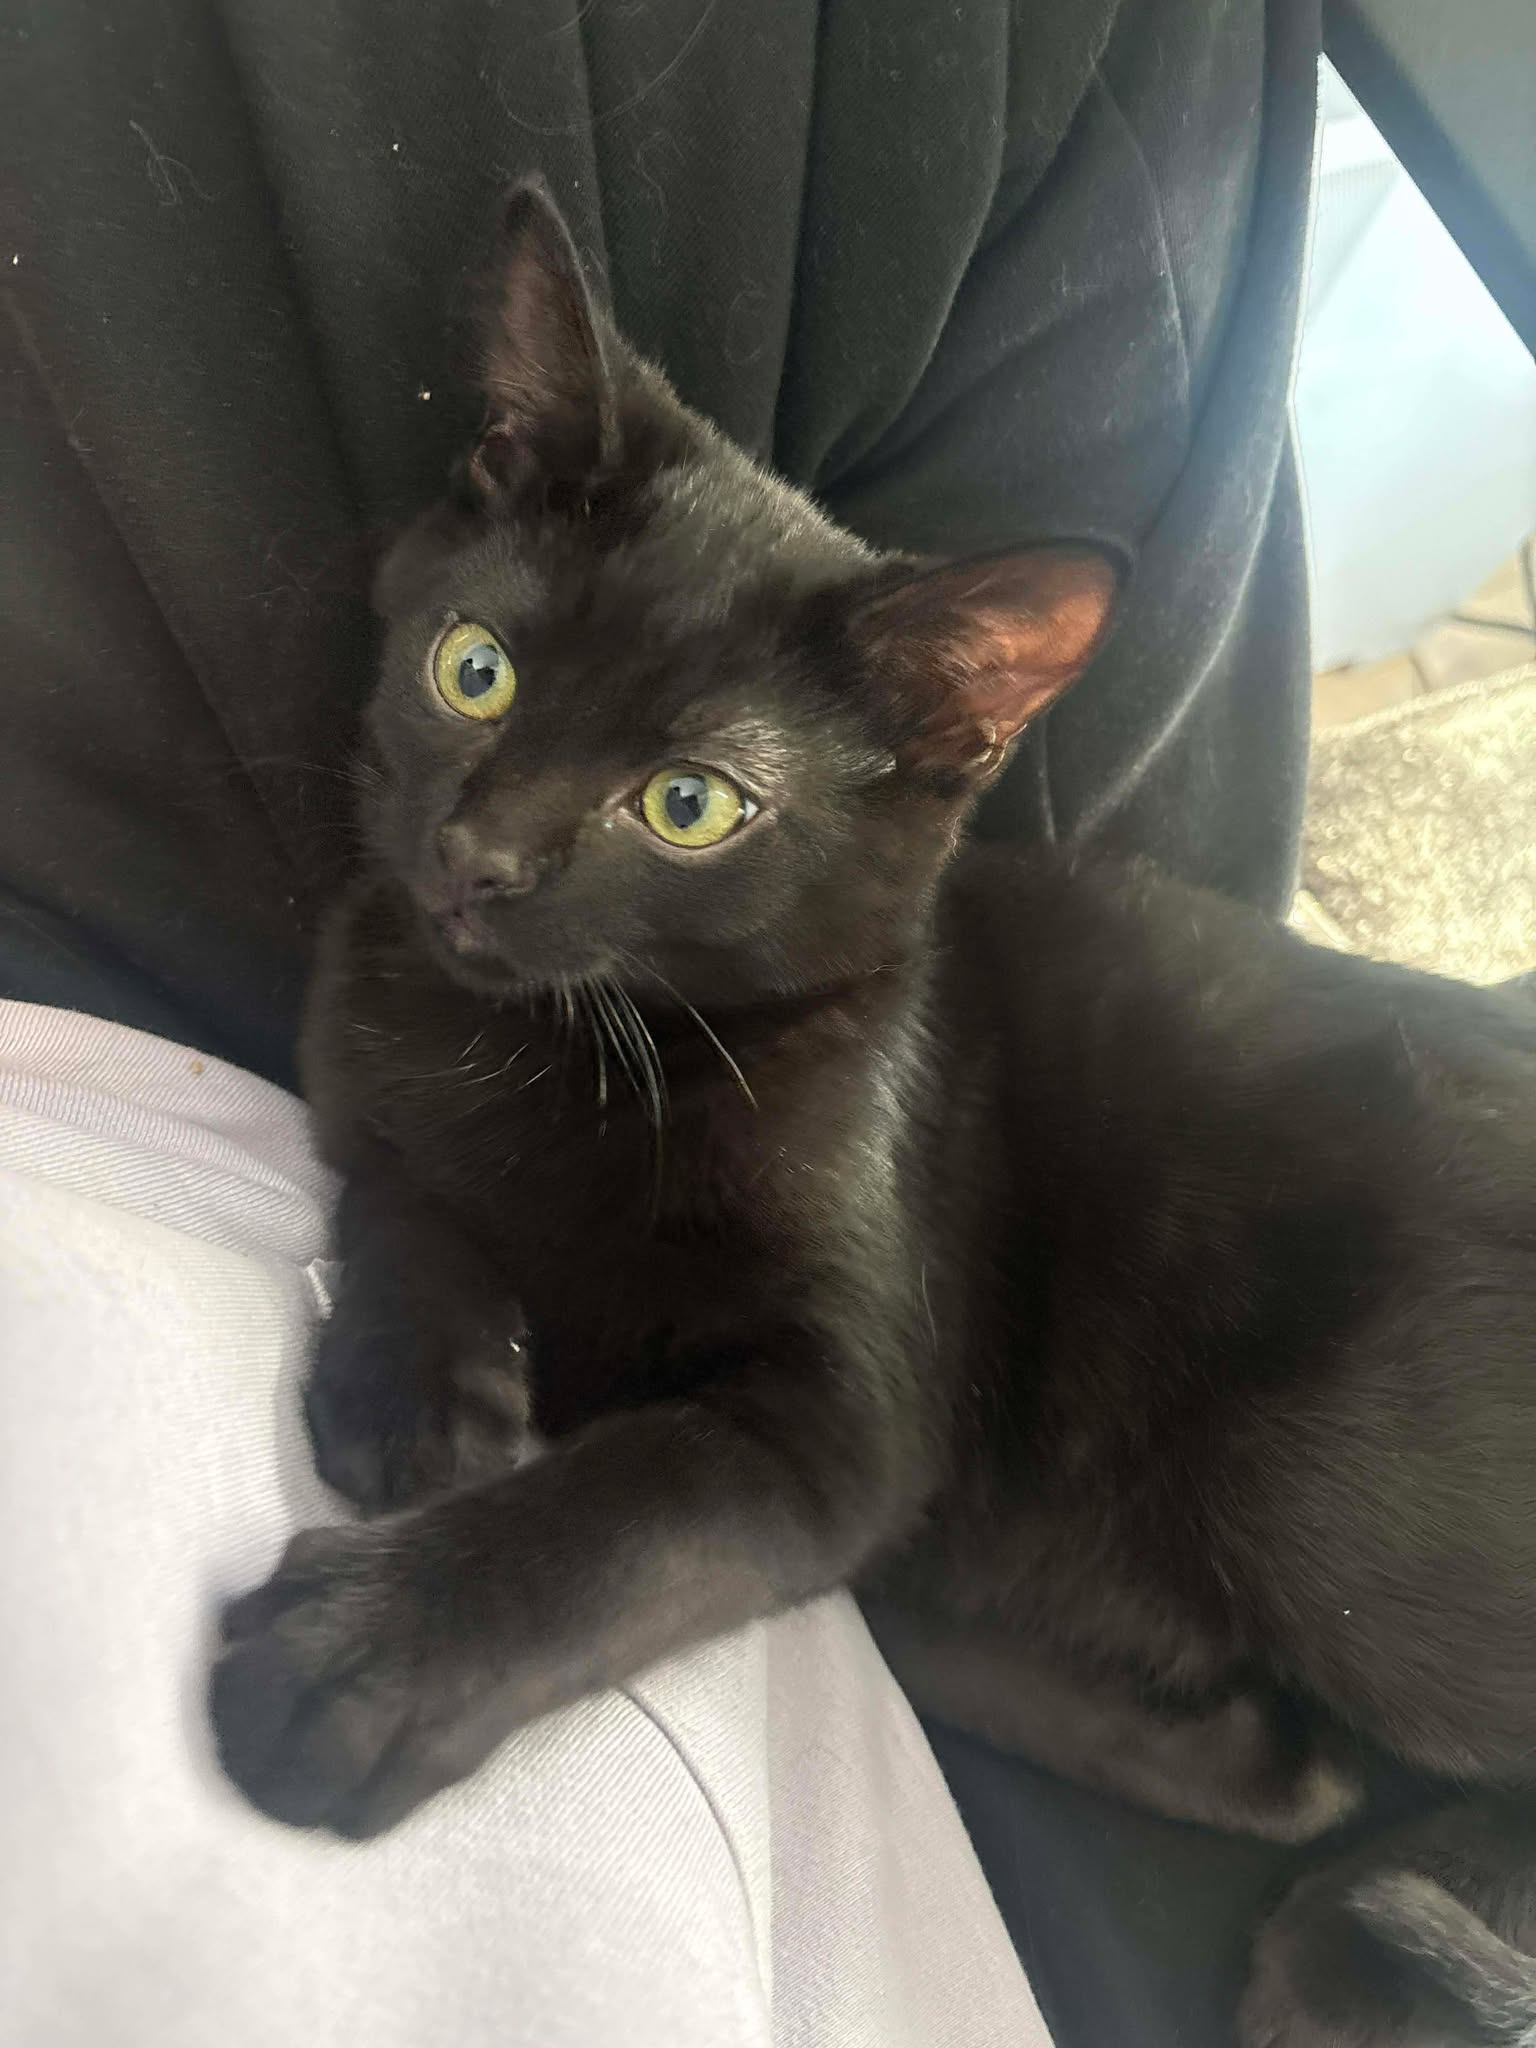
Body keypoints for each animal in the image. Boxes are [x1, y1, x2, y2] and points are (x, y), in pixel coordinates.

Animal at [211, 182, 1536, 2047]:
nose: (479, 858)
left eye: (689, 805)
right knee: (1297, 1765)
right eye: (476, 670)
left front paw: (369, 1649)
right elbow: (401, 1179)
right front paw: (417, 1389)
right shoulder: (367, 1044)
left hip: (1316, 1456)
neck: (582, 1053)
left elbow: (632, 1511)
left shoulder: (842, 1416)